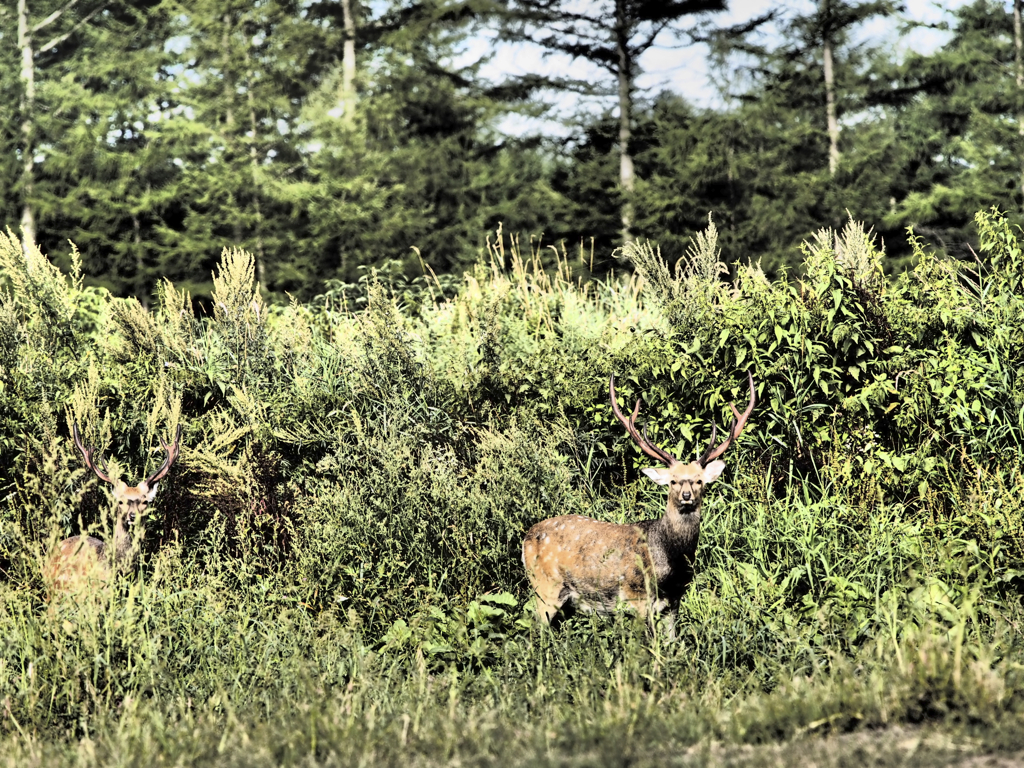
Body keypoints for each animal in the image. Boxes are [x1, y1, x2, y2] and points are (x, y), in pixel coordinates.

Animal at [524, 374, 757, 638]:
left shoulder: (674, 601)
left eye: (699, 481)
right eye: (673, 481)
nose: (686, 495)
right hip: (545, 587)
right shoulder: (636, 597)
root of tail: (526, 538)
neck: (670, 565)